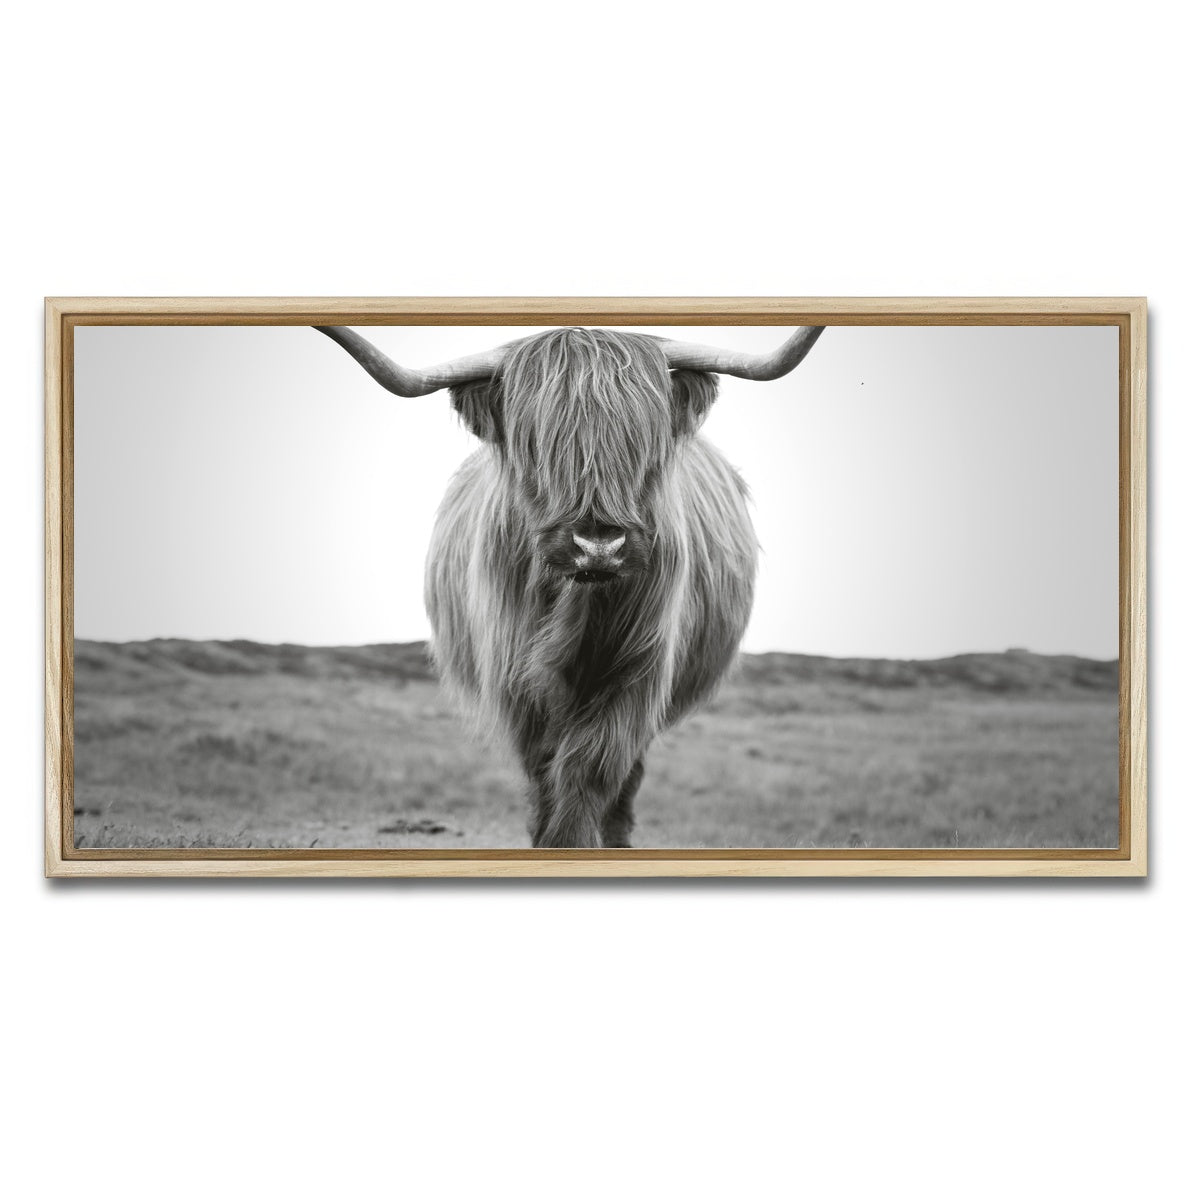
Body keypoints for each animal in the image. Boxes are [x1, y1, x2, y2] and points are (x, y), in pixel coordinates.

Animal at [316, 322, 824, 847]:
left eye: (644, 441)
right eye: (535, 443)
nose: (597, 545)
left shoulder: (637, 671)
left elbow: (591, 766)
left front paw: (572, 841)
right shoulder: (515, 675)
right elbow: (543, 765)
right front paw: (547, 838)